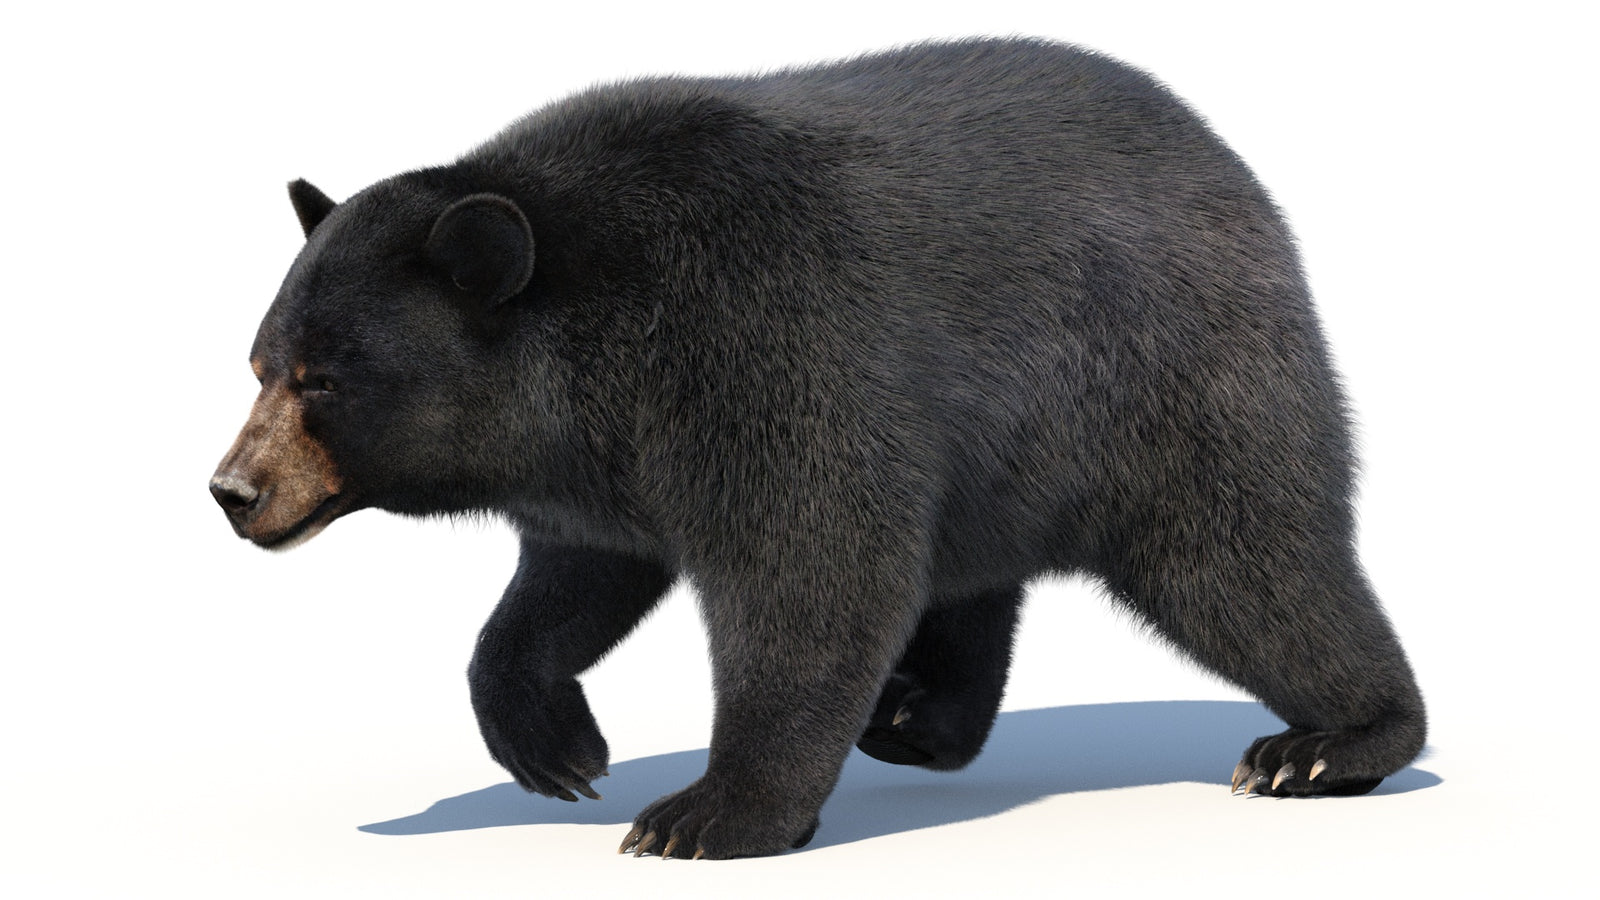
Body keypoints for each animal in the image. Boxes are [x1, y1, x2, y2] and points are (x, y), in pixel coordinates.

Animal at [210, 37, 1426, 859]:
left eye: (326, 378)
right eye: (259, 362)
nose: (234, 490)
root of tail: (1236, 174)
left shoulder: (762, 345)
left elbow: (813, 569)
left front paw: (706, 813)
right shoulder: (597, 460)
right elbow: (575, 578)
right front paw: (554, 746)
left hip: (1167, 380)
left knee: (1247, 560)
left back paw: (1328, 742)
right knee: (972, 569)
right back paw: (920, 720)